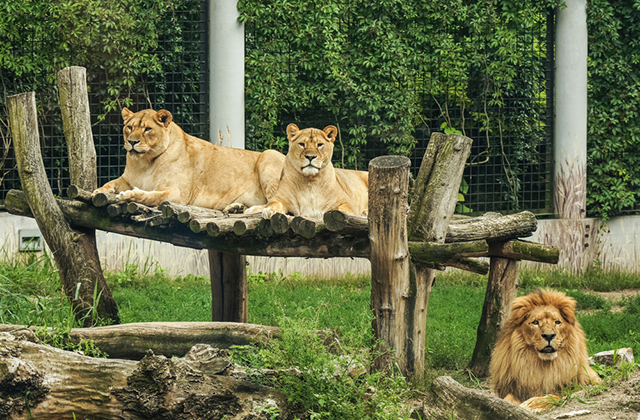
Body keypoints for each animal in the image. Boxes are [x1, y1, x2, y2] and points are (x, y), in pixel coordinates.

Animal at [93, 107, 284, 210]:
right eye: (130, 127)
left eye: (147, 129)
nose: (132, 142)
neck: (146, 163)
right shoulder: (126, 179)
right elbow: (110, 183)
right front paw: (98, 191)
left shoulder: (177, 193)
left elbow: (152, 196)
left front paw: (129, 195)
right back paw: (235, 207)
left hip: (269, 155)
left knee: (281, 206)